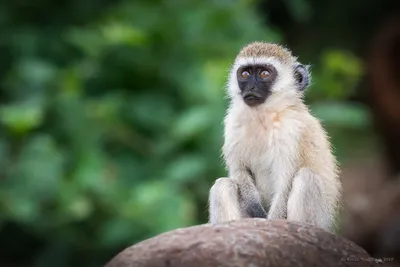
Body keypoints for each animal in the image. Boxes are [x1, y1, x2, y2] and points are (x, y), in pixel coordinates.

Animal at [208, 42, 342, 232]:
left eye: (264, 73)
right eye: (245, 74)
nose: (251, 88)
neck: (263, 116)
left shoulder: (291, 129)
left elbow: (285, 183)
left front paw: (272, 224)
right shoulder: (233, 122)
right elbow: (239, 170)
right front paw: (255, 209)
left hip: (320, 220)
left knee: (306, 178)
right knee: (222, 185)